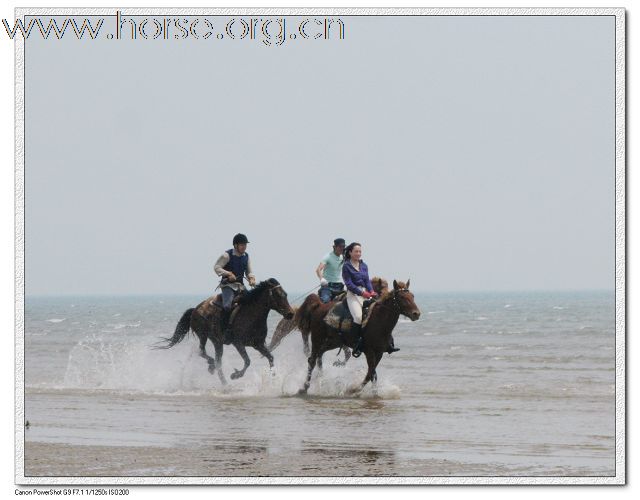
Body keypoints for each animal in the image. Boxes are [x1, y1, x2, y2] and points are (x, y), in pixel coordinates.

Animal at [155, 280, 296, 384]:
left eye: (286, 294)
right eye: (278, 295)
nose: (290, 314)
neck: (252, 315)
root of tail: (195, 309)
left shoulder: (258, 344)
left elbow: (270, 357)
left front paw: (274, 375)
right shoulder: (238, 343)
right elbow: (247, 361)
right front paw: (235, 375)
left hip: (217, 342)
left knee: (217, 362)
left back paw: (222, 380)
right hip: (206, 337)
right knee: (205, 354)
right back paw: (217, 372)